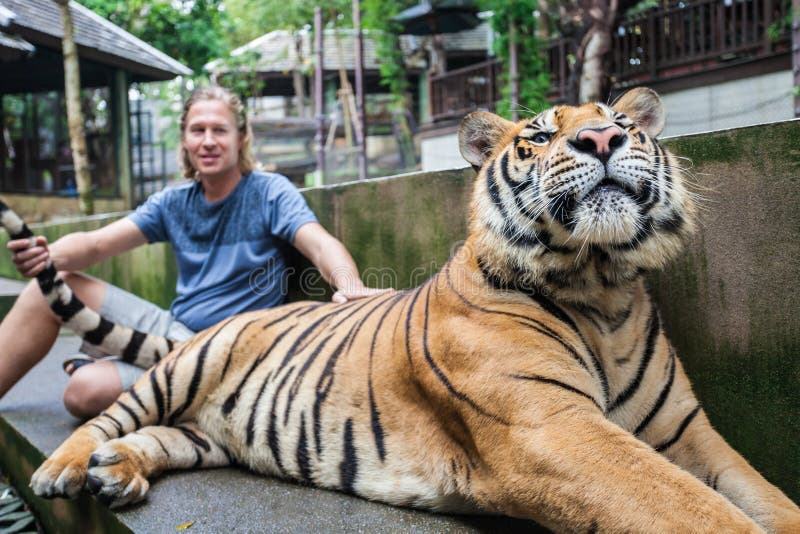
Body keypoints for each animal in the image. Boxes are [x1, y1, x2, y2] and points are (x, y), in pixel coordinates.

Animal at [7, 87, 800, 532]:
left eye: (623, 125)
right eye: (539, 135)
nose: (602, 137)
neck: (601, 287)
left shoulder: (688, 436)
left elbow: (763, 497)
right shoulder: (553, 428)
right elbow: (690, 511)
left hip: (214, 432)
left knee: (165, 437)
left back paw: (119, 472)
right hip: (185, 368)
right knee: (111, 415)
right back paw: (69, 469)